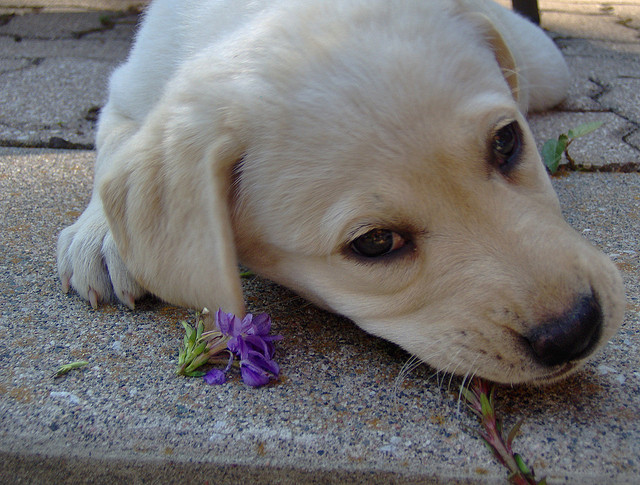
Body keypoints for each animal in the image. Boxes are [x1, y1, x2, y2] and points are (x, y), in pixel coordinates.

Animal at [57, 0, 625, 384]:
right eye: (374, 243)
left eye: (507, 142)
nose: (576, 330)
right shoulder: (128, 90)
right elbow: (115, 149)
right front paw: (100, 238)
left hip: (545, 65)